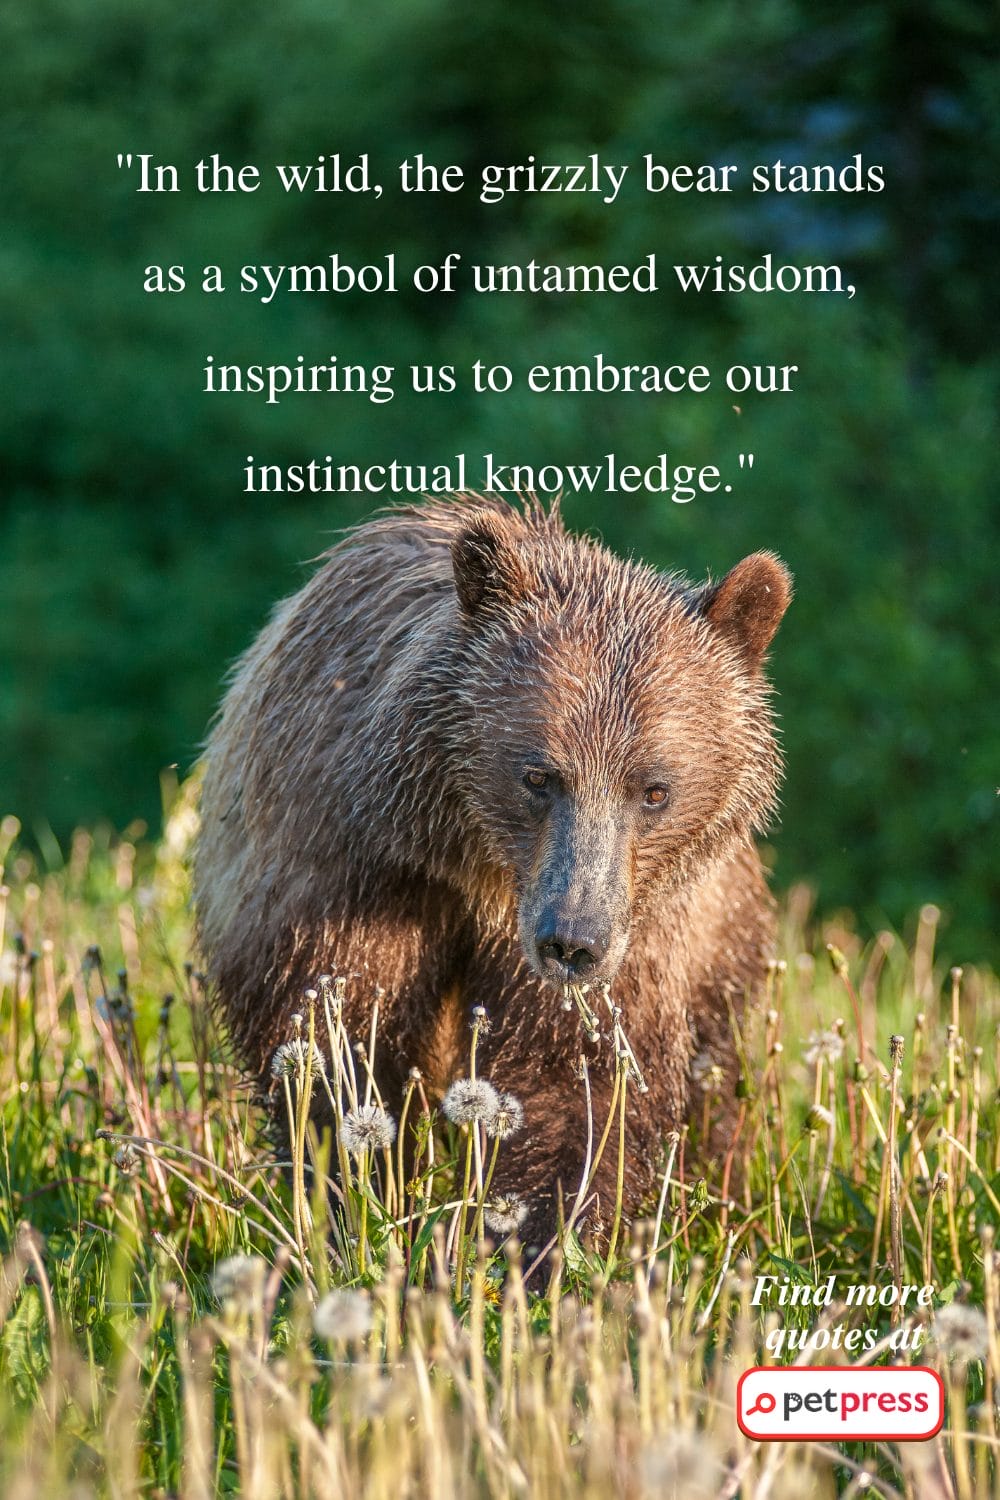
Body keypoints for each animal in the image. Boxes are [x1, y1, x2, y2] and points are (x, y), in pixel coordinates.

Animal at [194, 495, 791, 1249]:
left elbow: (574, 1081)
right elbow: (337, 1043)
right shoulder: (346, 866)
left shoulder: (631, 928)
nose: (572, 941)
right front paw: (360, 1206)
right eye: (538, 774)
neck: (472, 858)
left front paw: (544, 1239)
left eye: (655, 789)